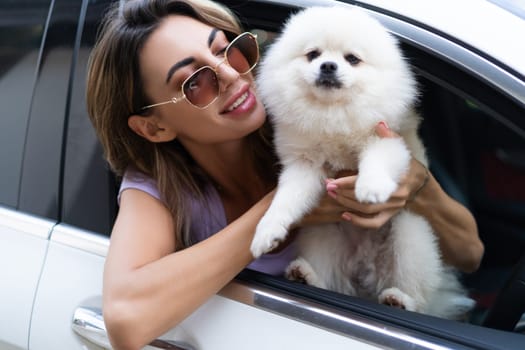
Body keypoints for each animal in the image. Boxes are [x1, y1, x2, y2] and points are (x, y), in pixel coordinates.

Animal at [251, 5, 474, 318]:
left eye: (352, 59)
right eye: (313, 54)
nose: (328, 66)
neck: (333, 113)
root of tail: (366, 274)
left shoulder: (388, 140)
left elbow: (377, 160)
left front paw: (370, 188)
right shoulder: (304, 165)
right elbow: (284, 201)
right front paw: (267, 231)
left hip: (410, 235)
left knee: (418, 298)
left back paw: (399, 300)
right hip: (325, 235)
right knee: (331, 281)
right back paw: (306, 276)